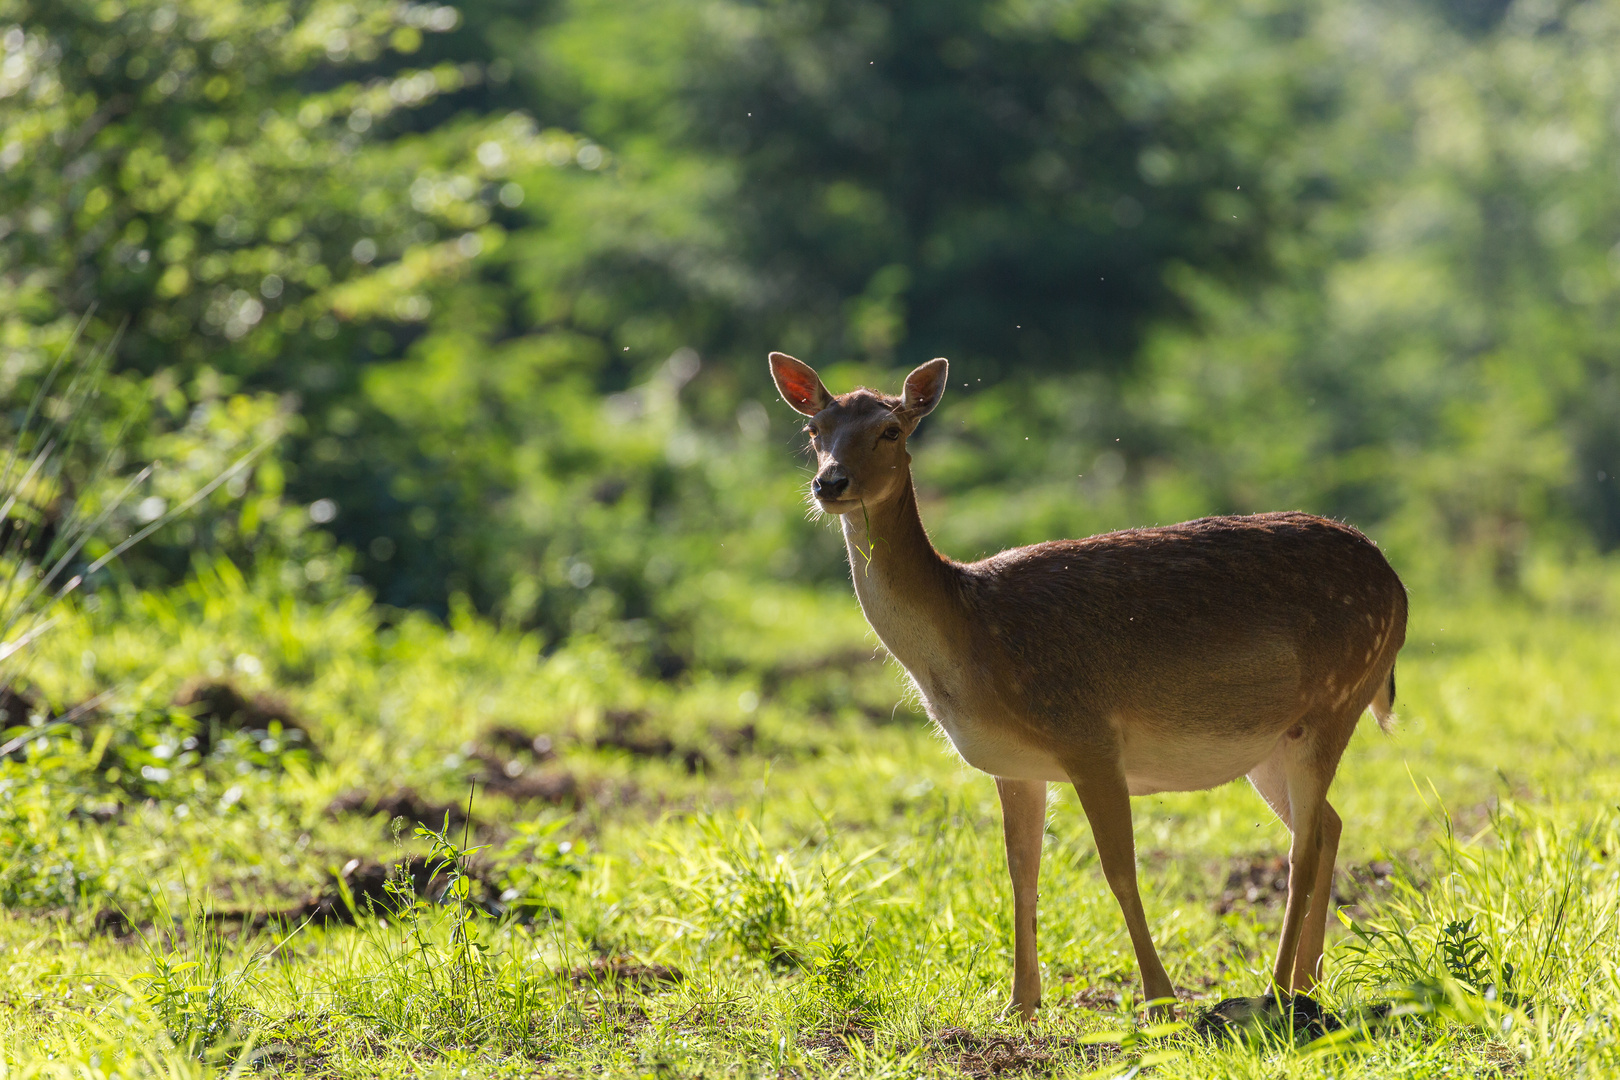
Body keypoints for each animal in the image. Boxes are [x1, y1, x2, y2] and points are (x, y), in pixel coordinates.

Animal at [771, 352, 1406, 1023]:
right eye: (814, 430)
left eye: (891, 430)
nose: (830, 483)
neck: (970, 634)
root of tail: (1398, 587)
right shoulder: (1014, 765)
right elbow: (1021, 872)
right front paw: (1019, 1004)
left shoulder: (1089, 735)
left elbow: (1119, 869)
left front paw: (1159, 1000)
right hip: (1271, 744)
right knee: (1330, 824)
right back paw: (1309, 986)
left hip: (1336, 697)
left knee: (1303, 846)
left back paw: (1274, 992)